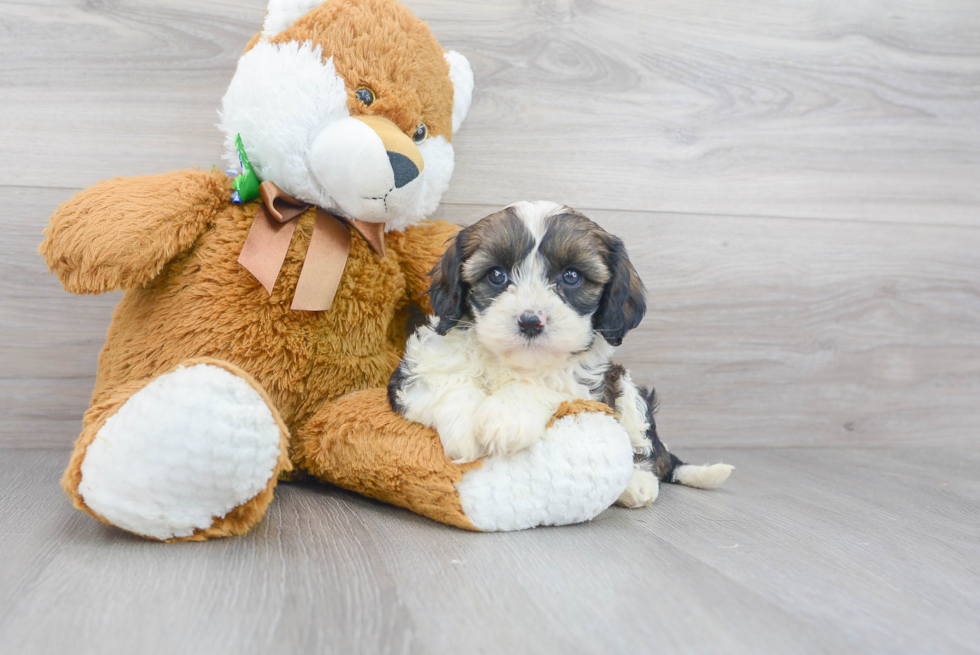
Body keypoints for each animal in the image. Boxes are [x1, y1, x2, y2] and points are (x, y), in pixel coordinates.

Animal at [386, 200, 732, 508]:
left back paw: (636, 483)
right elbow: (449, 382)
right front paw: (467, 426)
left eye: (572, 276)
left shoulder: (588, 385)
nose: (530, 321)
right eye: (496, 275)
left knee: (645, 448)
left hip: (626, 387)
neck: (513, 362)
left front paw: (506, 416)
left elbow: (547, 383)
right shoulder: (414, 372)